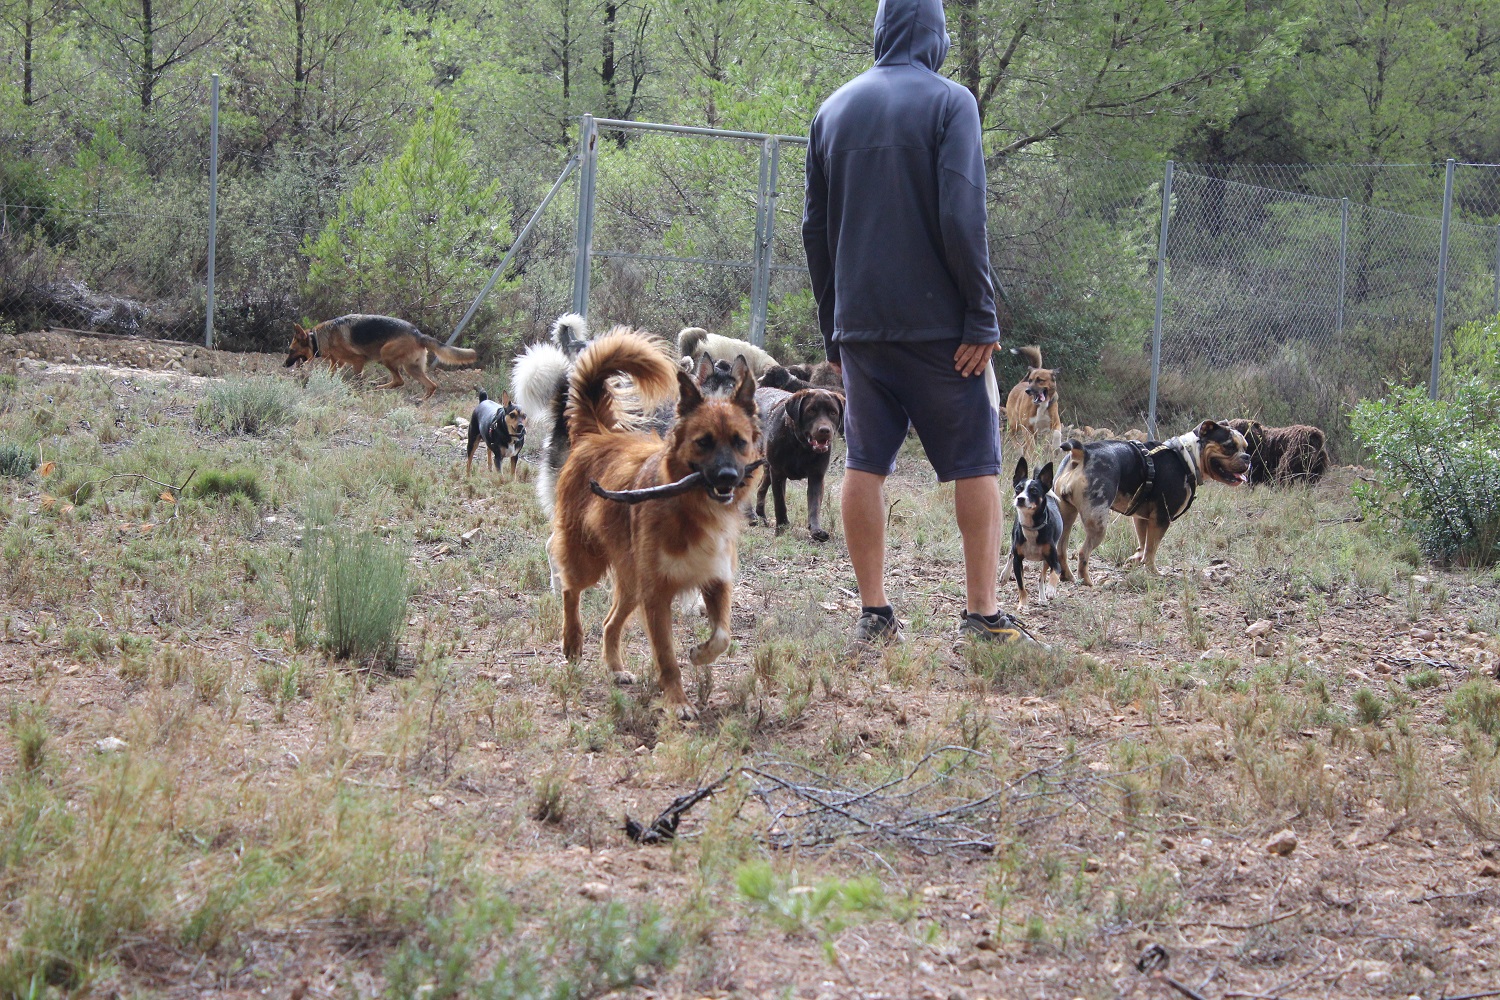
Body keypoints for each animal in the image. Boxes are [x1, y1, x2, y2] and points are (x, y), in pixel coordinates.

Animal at [284, 315, 477, 399]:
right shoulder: (337, 363)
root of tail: (418, 334)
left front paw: (356, 392)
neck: (318, 338)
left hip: (386, 356)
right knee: (431, 385)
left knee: (399, 380)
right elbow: (330, 376)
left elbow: (356, 381)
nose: (284, 365)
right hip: (412, 368)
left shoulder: (357, 362)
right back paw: (419, 401)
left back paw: (377, 387)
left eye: (291, 350)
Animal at [552, 328, 763, 718]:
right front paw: (677, 702)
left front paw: (700, 654)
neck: (693, 508)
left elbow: (723, 636)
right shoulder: (657, 595)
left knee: (609, 622)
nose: (728, 477)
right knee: (570, 589)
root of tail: (597, 434)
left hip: (632, 580)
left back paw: (616, 669)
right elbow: (666, 656)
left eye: (739, 442)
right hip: (590, 558)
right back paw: (572, 640)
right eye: (704, 442)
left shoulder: (716, 580)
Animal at [753, 386, 845, 542]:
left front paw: (816, 530)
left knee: (760, 488)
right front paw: (781, 528)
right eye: (811, 411)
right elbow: (780, 503)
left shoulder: (816, 476)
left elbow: (814, 506)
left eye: (833, 412)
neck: (800, 446)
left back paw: (761, 517)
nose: (824, 430)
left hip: (767, 466)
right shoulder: (778, 473)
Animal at [998, 457, 1067, 608]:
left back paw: (1042, 597)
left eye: (1034, 491)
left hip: (1046, 560)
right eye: (1018, 489)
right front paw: (1023, 604)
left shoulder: (1054, 561)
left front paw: (1051, 590)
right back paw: (1004, 575)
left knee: (1042, 577)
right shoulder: (1018, 561)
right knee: (1010, 554)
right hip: (1014, 544)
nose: (1020, 498)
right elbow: (1021, 585)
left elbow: (1054, 574)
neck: (1032, 528)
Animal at [1054, 420, 1252, 583]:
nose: (1248, 457)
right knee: (1083, 552)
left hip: (1066, 514)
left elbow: (1143, 543)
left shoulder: (1141, 518)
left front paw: (1136, 560)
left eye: (1245, 447)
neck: (1188, 457)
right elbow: (1152, 548)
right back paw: (1086, 581)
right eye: (1229, 446)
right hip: (1097, 522)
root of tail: (1083, 452)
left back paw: (1067, 576)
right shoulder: (1162, 518)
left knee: (1061, 548)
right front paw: (1152, 571)